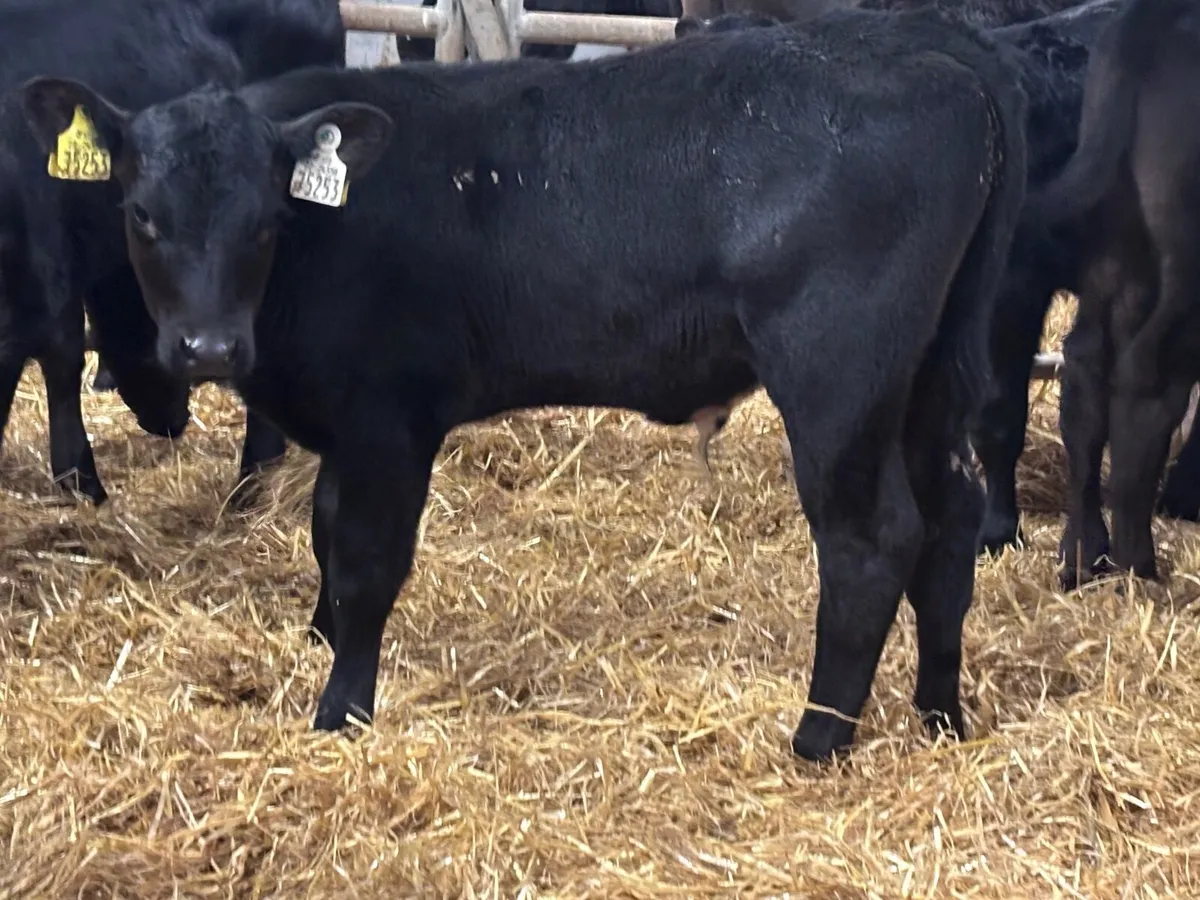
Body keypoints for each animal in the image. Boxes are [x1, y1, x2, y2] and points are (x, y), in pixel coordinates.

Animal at [1019, 0, 1200, 586]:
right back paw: (1137, 564)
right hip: (1182, 259)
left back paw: (1083, 555)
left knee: (1086, 369)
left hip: (1114, 249)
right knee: (1149, 378)